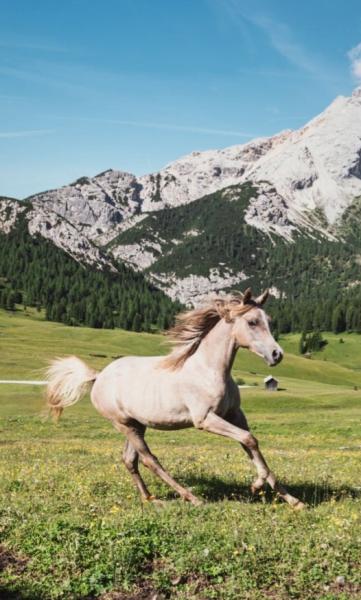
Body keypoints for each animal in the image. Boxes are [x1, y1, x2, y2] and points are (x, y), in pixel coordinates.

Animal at [45, 288, 304, 508]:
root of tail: (98, 376)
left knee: (130, 460)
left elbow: (252, 445)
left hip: (136, 425)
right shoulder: (205, 420)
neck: (208, 370)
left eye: (268, 321)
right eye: (252, 322)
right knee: (149, 459)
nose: (277, 355)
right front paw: (256, 486)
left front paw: (293, 500)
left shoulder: (236, 416)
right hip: (124, 424)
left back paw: (149, 498)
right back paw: (191, 497)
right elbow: (250, 440)